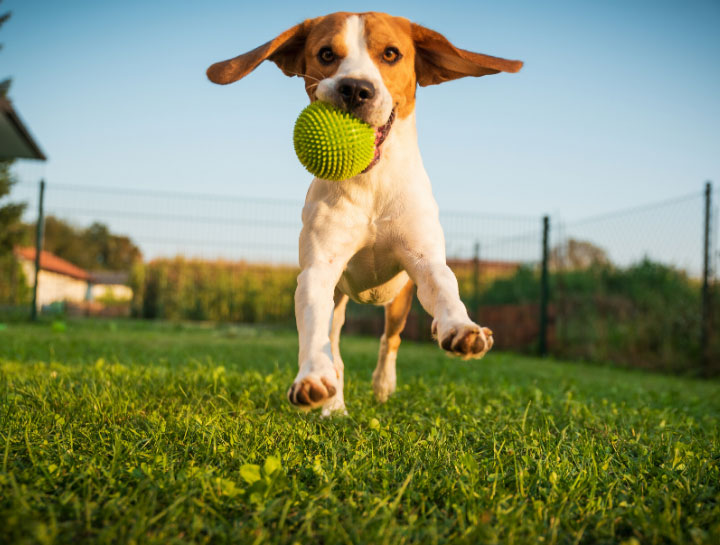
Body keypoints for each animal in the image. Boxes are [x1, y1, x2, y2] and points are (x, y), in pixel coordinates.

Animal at [208, 11, 524, 412]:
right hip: (340, 300)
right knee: (336, 347)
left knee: (391, 339)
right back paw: (334, 404)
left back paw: (385, 383)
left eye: (391, 53)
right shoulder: (318, 271)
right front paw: (313, 379)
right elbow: (315, 332)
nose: (356, 89)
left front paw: (460, 328)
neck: (370, 184)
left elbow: (444, 290)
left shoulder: (424, 260)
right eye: (326, 54)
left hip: (400, 300)